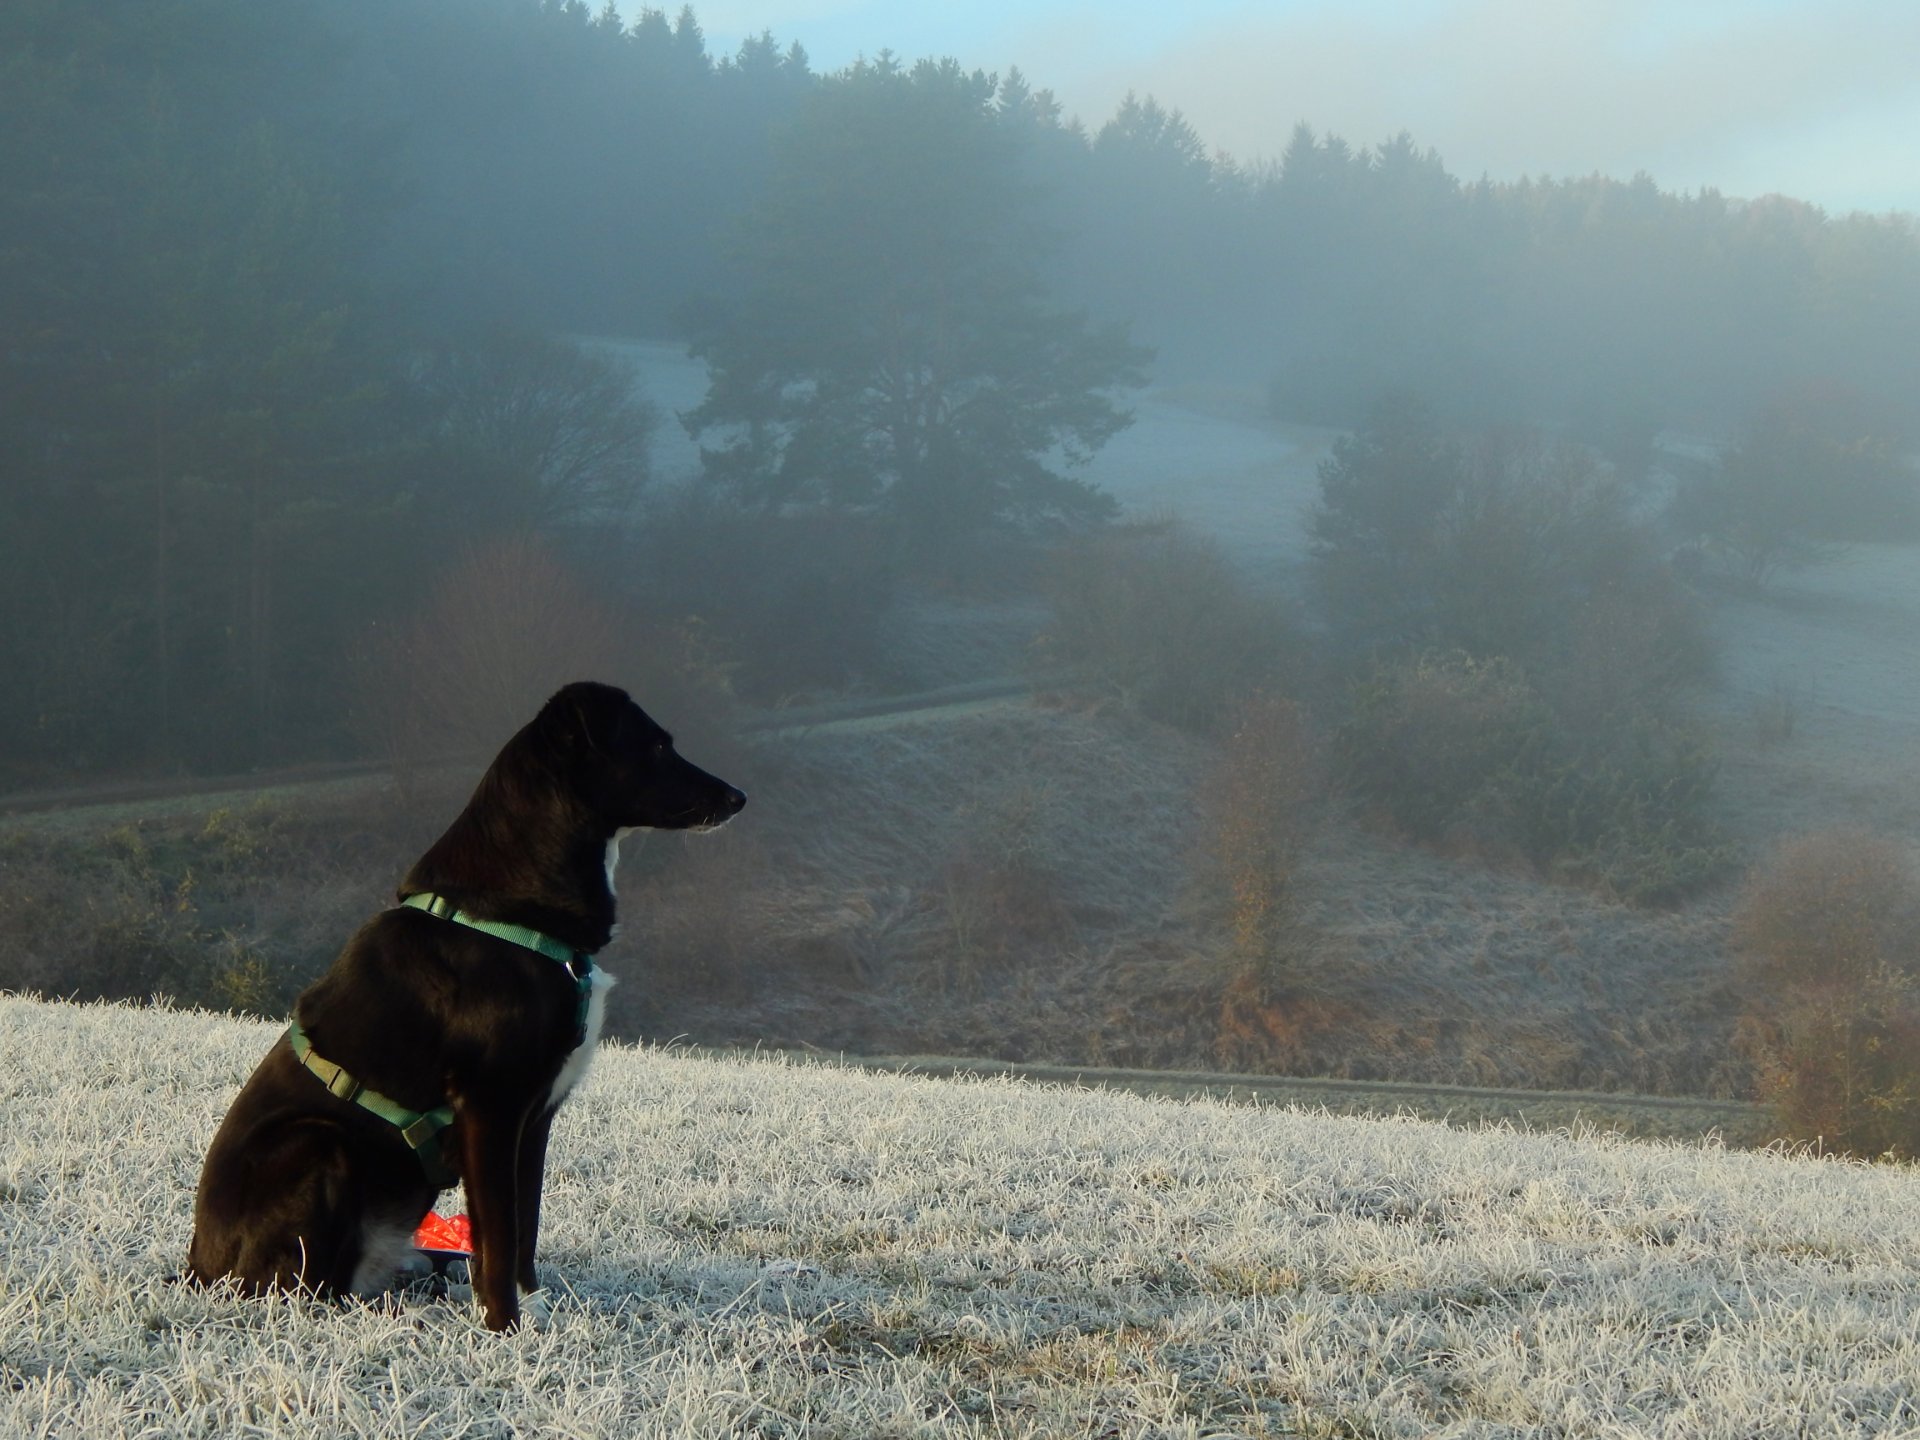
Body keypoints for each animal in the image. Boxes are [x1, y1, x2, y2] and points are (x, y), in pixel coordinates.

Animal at [187, 681, 744, 1331]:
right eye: (657, 746)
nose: (738, 797)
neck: (512, 913)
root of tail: (197, 1269)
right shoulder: (489, 1108)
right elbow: (498, 1236)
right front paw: (505, 1329)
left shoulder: (534, 1117)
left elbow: (522, 1226)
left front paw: (534, 1308)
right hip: (320, 1144)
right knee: (303, 1289)